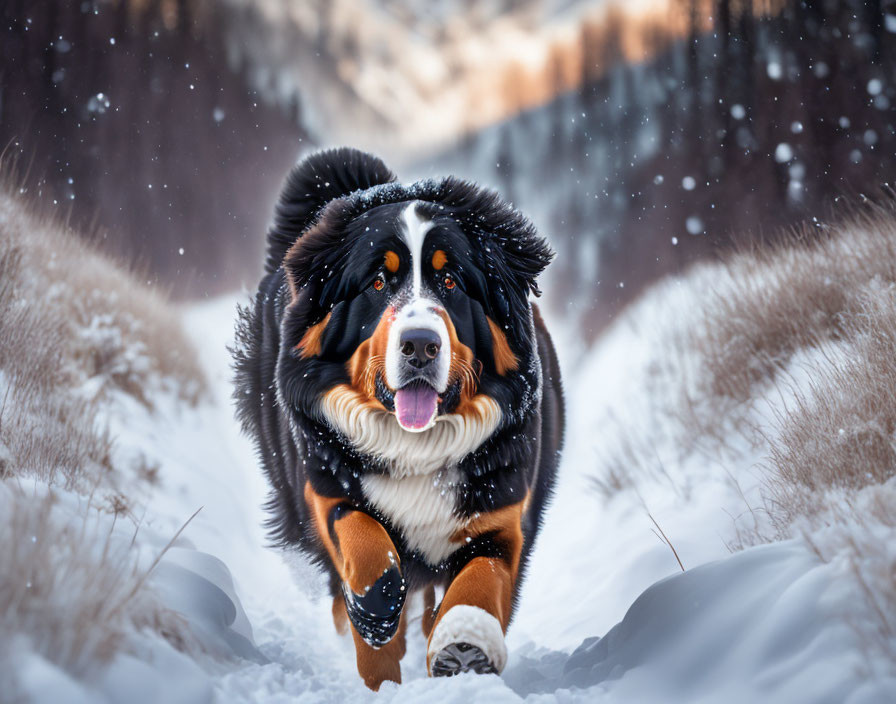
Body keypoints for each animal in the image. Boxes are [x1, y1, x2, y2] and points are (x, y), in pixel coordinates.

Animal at [234, 146, 564, 692]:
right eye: (378, 282)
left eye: (450, 281)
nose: (420, 345)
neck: (417, 445)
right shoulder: (323, 483)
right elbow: (365, 542)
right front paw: (377, 622)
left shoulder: (501, 513)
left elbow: (481, 581)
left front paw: (464, 646)